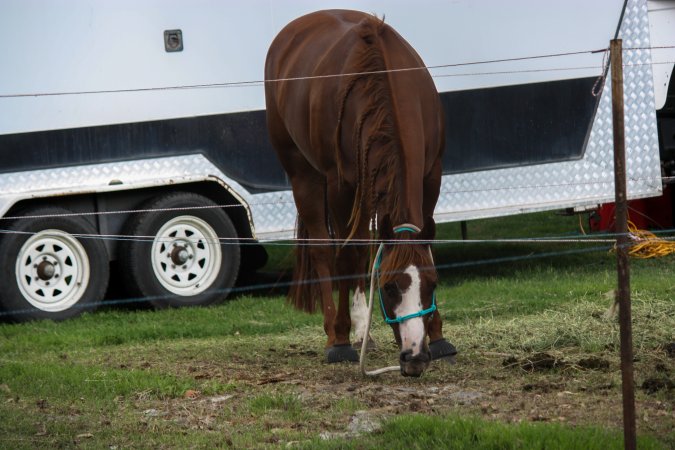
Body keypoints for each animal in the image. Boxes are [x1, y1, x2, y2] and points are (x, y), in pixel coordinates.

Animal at [264, 9, 456, 377]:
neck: (383, 80)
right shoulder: (342, 186)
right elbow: (346, 256)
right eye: (389, 286)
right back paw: (338, 332)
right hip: (304, 174)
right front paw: (340, 341)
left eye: (433, 283)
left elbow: (425, 244)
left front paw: (439, 336)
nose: (414, 357)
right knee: (325, 249)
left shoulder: (431, 174)